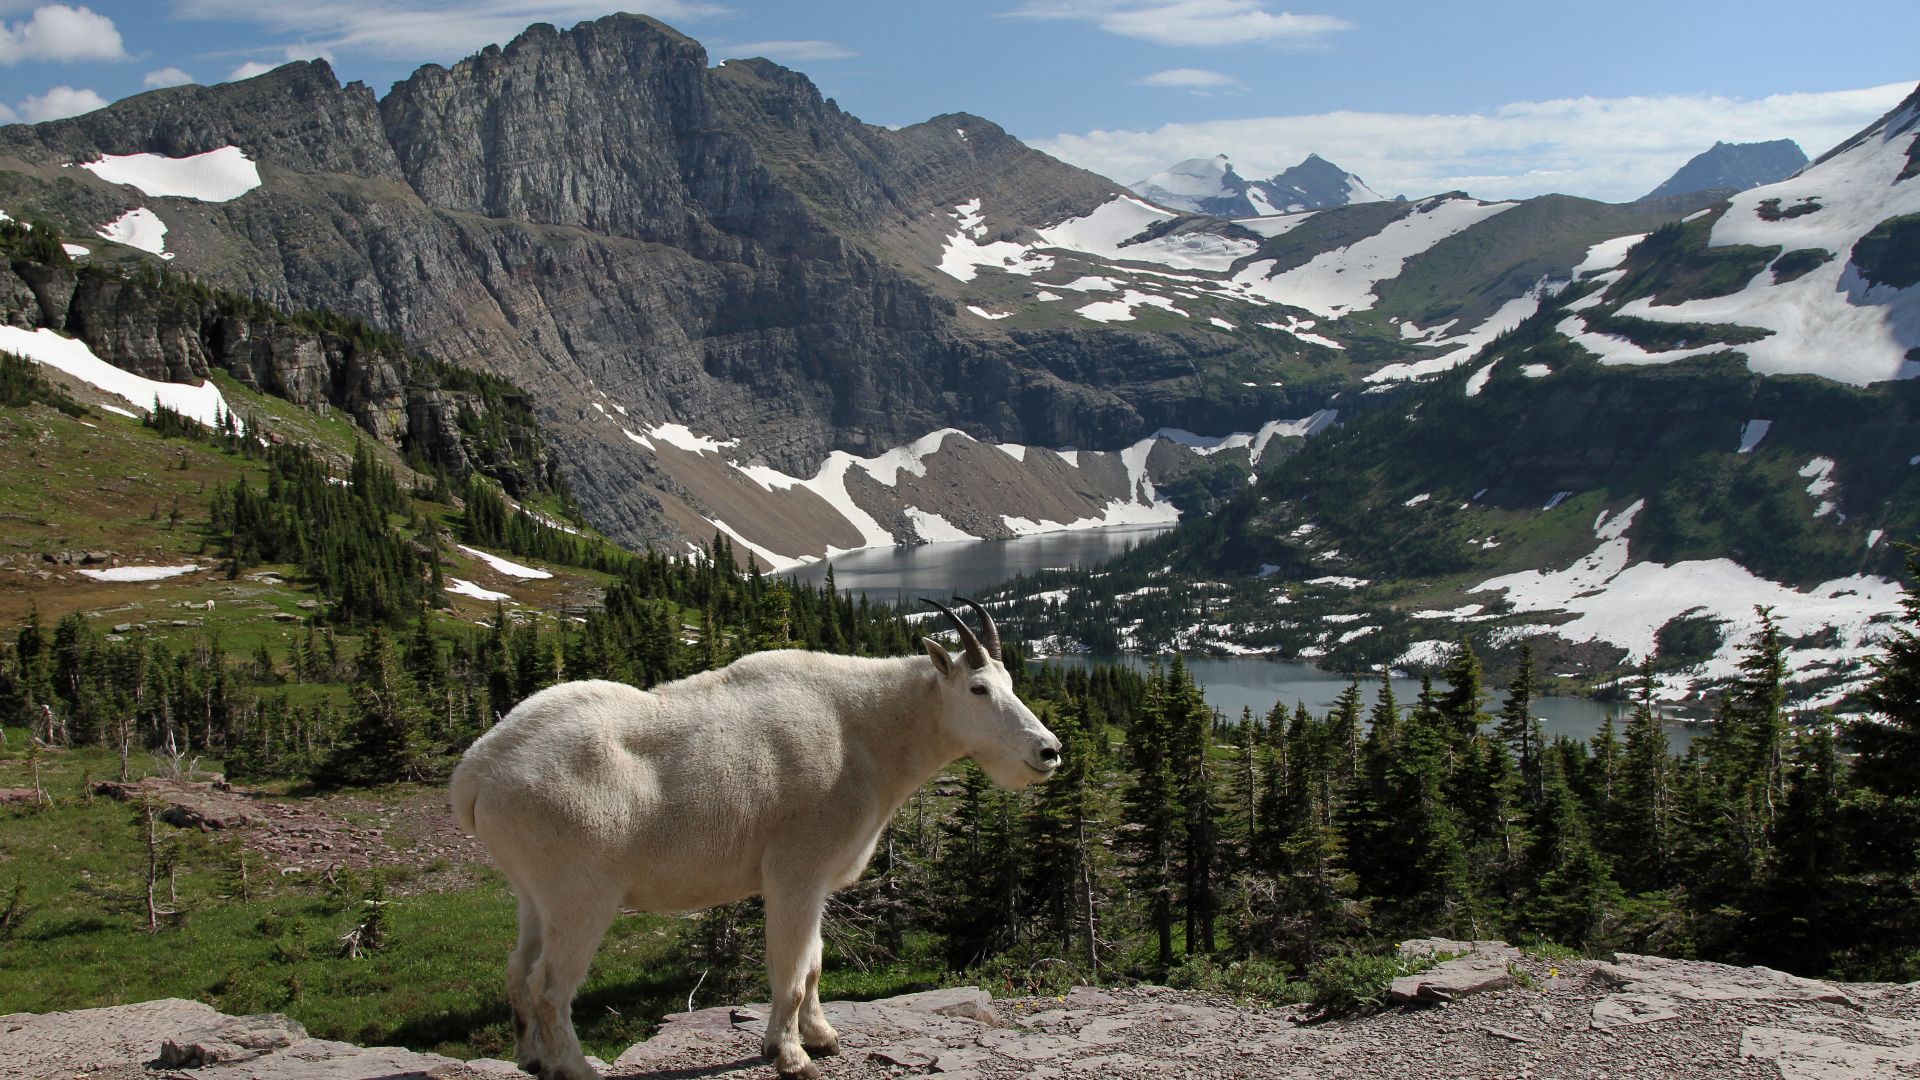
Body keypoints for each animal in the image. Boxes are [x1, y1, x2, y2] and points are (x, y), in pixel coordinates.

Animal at [450, 599, 1059, 1080]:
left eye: (1011, 685)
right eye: (978, 688)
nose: (1048, 750)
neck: (867, 733)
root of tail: (475, 773)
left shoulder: (817, 883)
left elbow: (812, 964)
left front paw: (822, 1036)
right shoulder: (794, 871)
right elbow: (789, 972)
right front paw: (790, 1056)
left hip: (534, 893)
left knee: (517, 970)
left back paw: (532, 1058)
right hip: (581, 895)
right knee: (550, 987)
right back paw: (576, 1069)